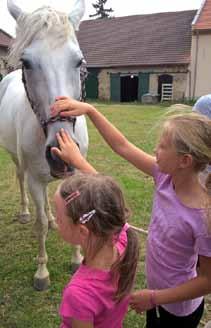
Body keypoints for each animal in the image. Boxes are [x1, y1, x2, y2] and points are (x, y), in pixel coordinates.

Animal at [0, 0, 88, 290]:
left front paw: (77, 259)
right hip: (17, 161)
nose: (60, 154)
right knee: (20, 179)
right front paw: (42, 273)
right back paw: (26, 212)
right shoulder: (34, 181)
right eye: (27, 62)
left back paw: (52, 218)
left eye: (79, 61)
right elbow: (39, 227)